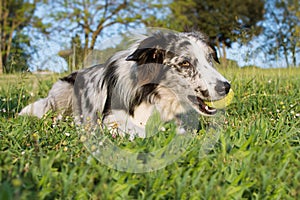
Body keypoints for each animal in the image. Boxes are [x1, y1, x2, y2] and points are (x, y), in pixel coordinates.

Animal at [19, 30, 231, 138]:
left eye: (209, 58)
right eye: (185, 63)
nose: (226, 87)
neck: (152, 94)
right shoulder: (110, 119)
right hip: (62, 92)